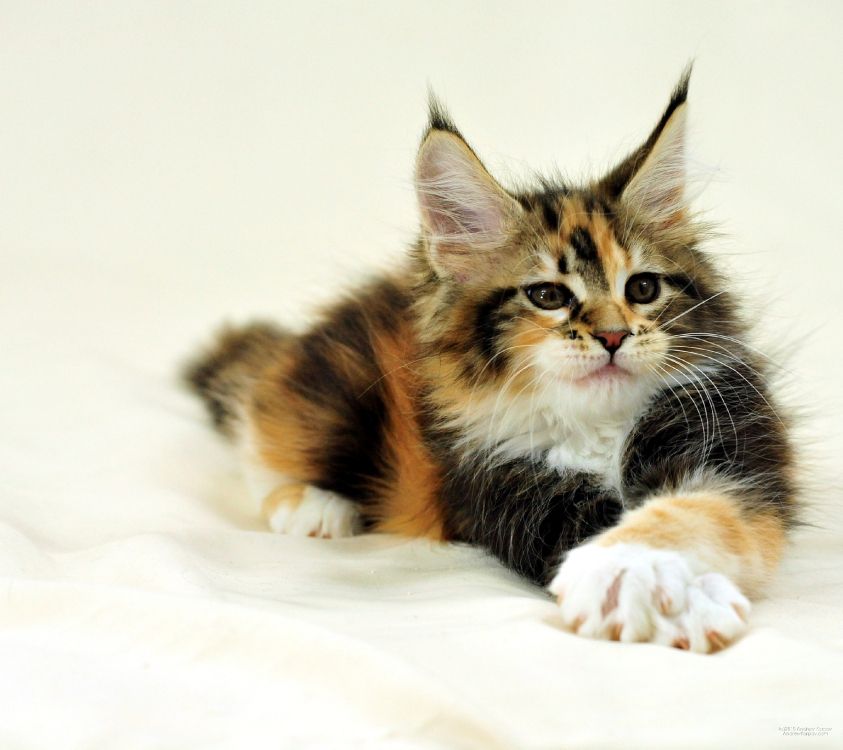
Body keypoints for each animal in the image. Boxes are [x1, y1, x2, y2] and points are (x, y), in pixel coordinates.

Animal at [185, 72, 796, 656]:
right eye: (548, 296)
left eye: (643, 288)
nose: (613, 336)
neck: (594, 426)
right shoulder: (501, 488)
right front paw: (644, 585)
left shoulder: (733, 448)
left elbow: (695, 512)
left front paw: (633, 571)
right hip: (331, 397)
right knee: (259, 421)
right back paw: (312, 505)